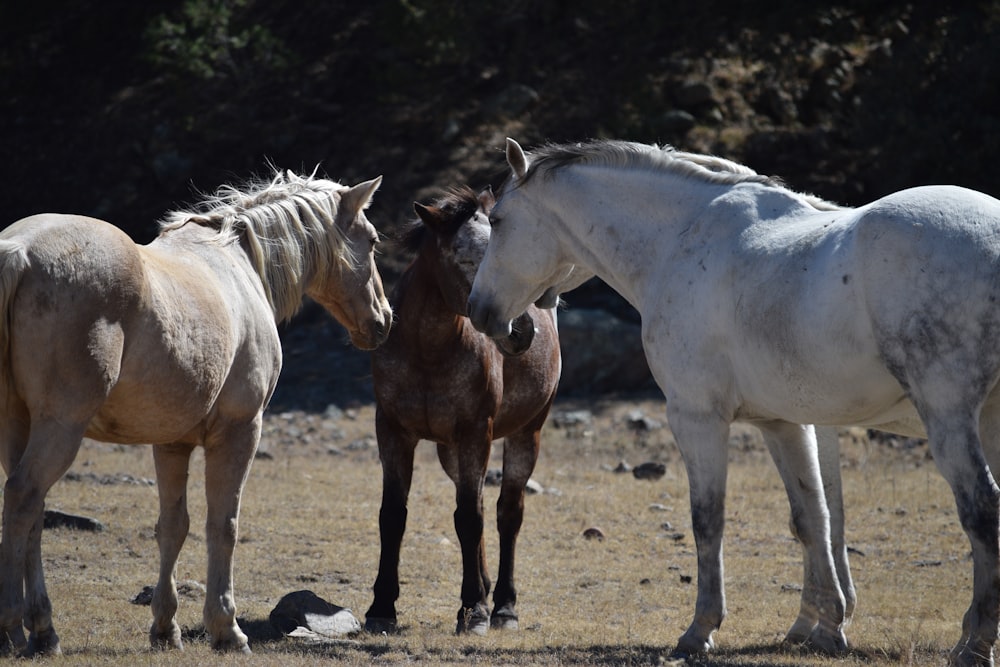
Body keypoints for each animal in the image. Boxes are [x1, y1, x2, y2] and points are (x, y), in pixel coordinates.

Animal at [0, 168, 392, 656]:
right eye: (372, 241)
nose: (383, 320)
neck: (239, 264)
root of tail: (19, 253)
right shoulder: (240, 432)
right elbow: (223, 525)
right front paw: (227, 628)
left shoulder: (171, 442)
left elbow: (173, 527)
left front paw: (165, 628)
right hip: (60, 428)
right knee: (22, 499)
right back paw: (16, 629)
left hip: (18, 424)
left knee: (32, 513)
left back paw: (42, 630)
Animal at [364, 187, 560, 636]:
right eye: (466, 259)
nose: (521, 330)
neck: (427, 352)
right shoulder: (393, 431)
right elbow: (393, 515)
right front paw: (381, 608)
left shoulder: (475, 432)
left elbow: (470, 518)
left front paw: (474, 610)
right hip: (449, 451)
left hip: (526, 433)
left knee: (507, 513)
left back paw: (502, 607)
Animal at [466, 138, 1000, 664]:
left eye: (499, 221)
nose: (479, 311)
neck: (678, 241)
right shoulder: (784, 424)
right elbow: (814, 519)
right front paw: (827, 628)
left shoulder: (697, 418)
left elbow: (709, 520)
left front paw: (700, 630)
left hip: (948, 418)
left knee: (982, 510)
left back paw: (974, 645)